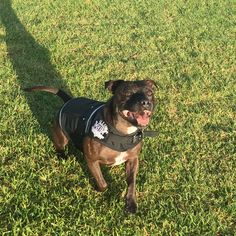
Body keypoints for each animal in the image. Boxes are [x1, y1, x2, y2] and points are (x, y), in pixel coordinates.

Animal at [24, 79, 156, 214]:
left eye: (150, 93)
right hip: (61, 136)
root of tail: (69, 100)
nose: (146, 102)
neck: (122, 132)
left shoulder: (133, 159)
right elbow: (103, 183)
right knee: (59, 145)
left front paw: (131, 203)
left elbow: (131, 182)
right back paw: (62, 155)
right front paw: (98, 188)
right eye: (128, 93)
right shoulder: (92, 160)